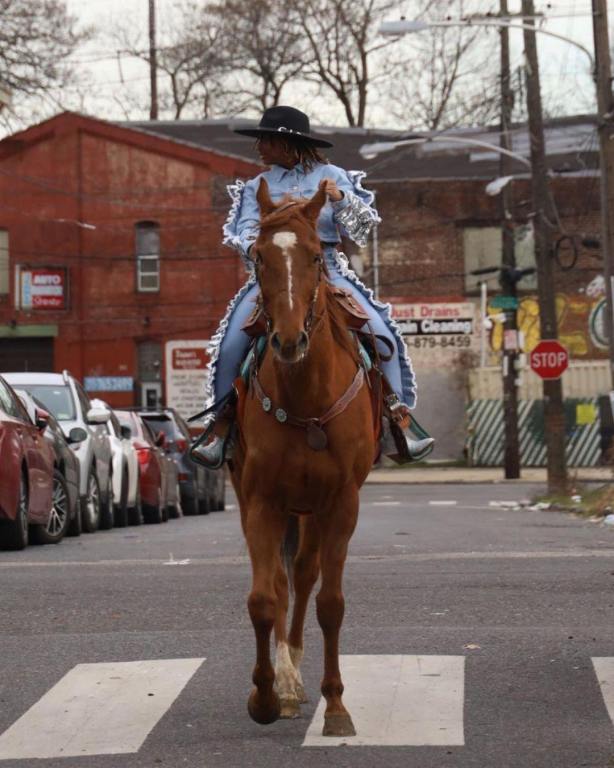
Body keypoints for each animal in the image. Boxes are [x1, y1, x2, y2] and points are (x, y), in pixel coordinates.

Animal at [230, 177, 378, 736]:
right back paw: (285, 682)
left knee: (307, 574)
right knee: (281, 579)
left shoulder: (341, 503)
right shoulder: (260, 500)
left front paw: (335, 706)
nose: (289, 341)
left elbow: (330, 603)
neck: (306, 398)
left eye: (316, 255)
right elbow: (263, 597)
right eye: (257, 256)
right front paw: (264, 696)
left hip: (313, 510)